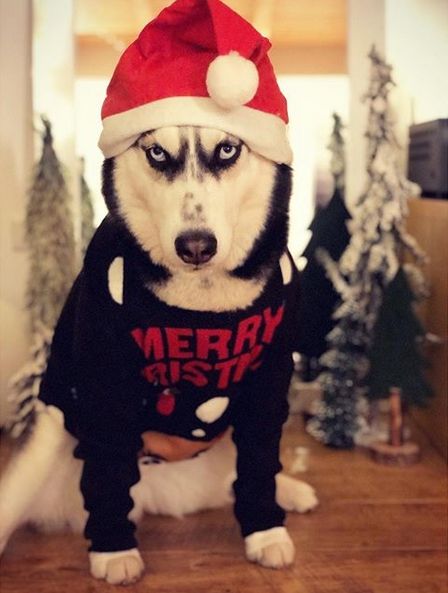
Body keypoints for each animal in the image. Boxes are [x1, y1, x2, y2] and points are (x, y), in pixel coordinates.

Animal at [0, 127, 316, 584]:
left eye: (227, 149)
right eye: (156, 153)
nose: (196, 246)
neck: (203, 301)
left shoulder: (269, 383)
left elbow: (258, 466)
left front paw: (267, 531)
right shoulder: (106, 386)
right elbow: (109, 473)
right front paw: (113, 550)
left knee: (238, 475)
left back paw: (290, 490)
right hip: (42, 447)